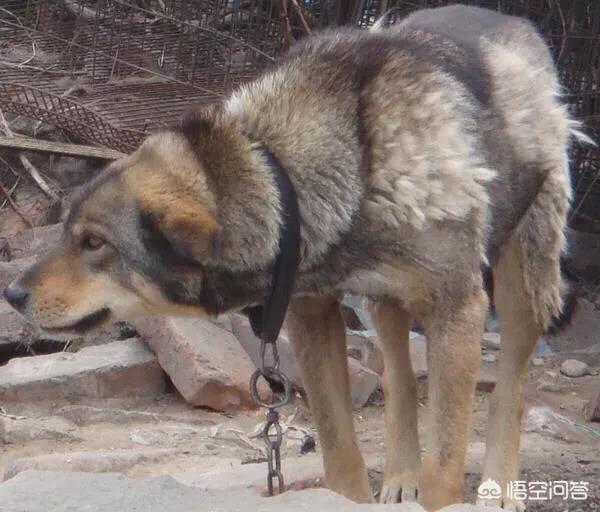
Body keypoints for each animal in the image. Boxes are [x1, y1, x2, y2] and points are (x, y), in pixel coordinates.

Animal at [2, 5, 588, 512]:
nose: (12, 294)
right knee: (400, 382)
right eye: (69, 233)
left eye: (94, 243)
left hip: (520, 282)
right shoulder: (313, 314)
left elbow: (445, 469)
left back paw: (499, 486)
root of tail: (513, 21)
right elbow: (341, 454)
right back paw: (401, 476)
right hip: (384, 303)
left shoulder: (457, 311)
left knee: (508, 387)